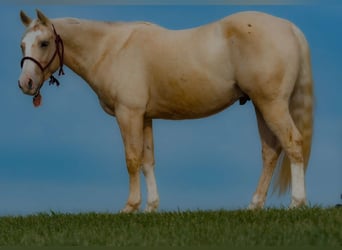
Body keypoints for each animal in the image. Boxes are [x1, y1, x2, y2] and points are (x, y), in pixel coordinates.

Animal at [18, 10, 312, 213]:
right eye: (22, 44)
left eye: (44, 43)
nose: (26, 83)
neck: (111, 48)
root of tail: (289, 27)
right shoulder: (145, 117)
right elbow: (148, 160)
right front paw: (151, 207)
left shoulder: (128, 114)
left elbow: (132, 159)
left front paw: (130, 206)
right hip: (261, 106)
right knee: (270, 152)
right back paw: (254, 205)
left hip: (271, 104)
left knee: (293, 143)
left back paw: (296, 203)